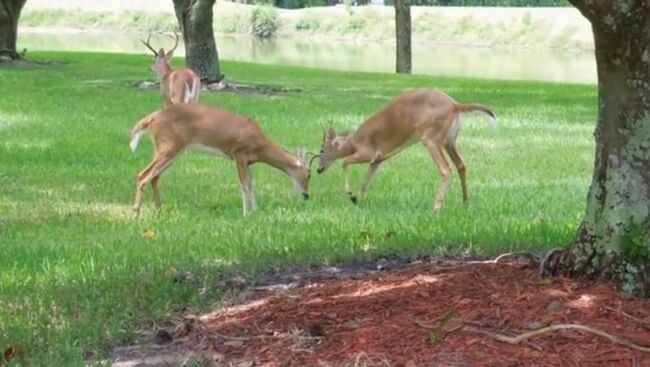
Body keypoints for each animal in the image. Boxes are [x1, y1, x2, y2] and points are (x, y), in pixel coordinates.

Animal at [128, 102, 310, 217]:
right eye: (308, 174)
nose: (307, 195)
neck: (260, 145)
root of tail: (152, 118)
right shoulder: (239, 152)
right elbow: (245, 183)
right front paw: (247, 213)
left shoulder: (246, 160)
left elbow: (250, 183)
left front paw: (255, 210)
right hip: (168, 147)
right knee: (143, 175)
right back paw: (135, 215)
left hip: (169, 149)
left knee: (154, 177)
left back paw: (159, 212)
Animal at [316, 88, 494, 213]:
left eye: (322, 149)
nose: (318, 169)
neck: (352, 143)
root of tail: (455, 105)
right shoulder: (378, 159)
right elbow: (365, 181)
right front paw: (357, 201)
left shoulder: (368, 152)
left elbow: (344, 162)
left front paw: (350, 195)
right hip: (449, 141)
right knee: (461, 165)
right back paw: (465, 203)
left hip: (430, 138)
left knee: (445, 168)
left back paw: (436, 208)